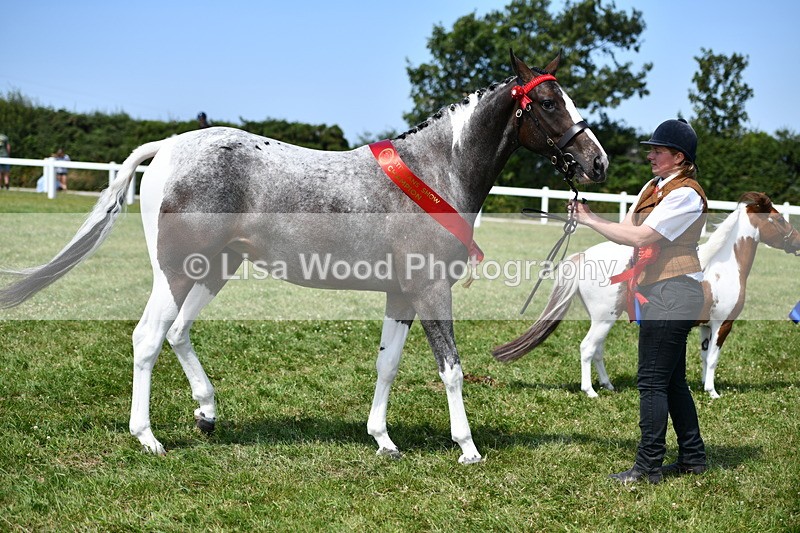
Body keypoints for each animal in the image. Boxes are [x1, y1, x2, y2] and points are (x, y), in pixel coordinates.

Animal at [0, 51, 608, 463]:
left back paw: (207, 412)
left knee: (177, 333)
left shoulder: (401, 294)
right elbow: (452, 370)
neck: (437, 172)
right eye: (548, 103)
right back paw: (148, 438)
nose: (596, 163)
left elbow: (387, 364)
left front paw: (383, 439)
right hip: (176, 272)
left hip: (213, 270)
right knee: (148, 338)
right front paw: (468, 448)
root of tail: (168, 147)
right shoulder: (432, 290)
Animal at [493, 192, 800, 398]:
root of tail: (584, 256)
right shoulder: (722, 324)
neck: (723, 266)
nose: (797, 240)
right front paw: (713, 392)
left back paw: (608, 385)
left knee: (598, 350)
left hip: (603, 319)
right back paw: (590, 391)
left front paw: (703, 386)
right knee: (587, 348)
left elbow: (704, 358)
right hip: (604, 318)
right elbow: (713, 358)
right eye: (777, 219)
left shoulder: (705, 327)